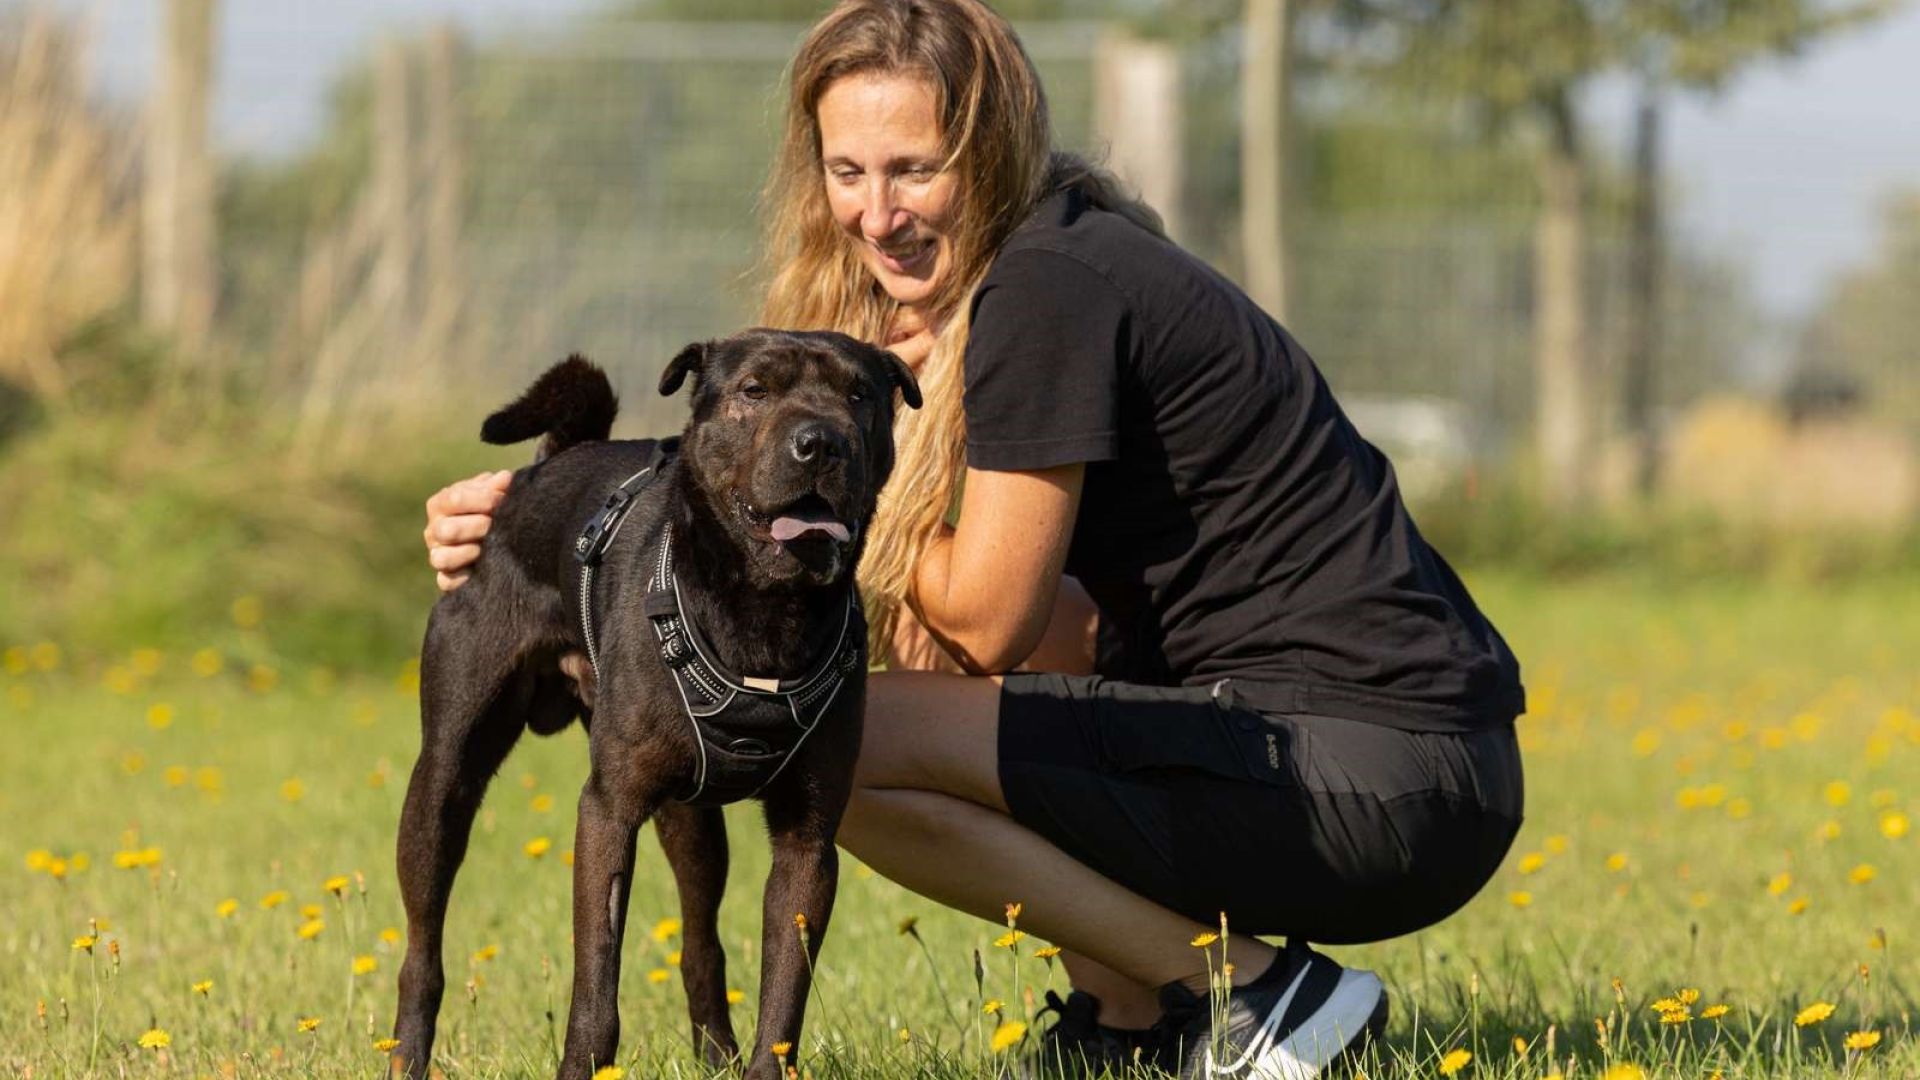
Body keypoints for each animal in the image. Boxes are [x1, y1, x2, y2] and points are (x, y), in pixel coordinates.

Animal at [387, 328, 913, 1076]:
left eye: (860, 394)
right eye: (755, 390)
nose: (820, 442)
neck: (763, 614)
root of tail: (546, 466)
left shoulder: (808, 838)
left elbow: (785, 989)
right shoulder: (608, 810)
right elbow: (596, 983)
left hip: (690, 815)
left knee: (701, 942)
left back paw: (716, 1054)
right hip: (444, 777)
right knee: (422, 946)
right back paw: (406, 1053)